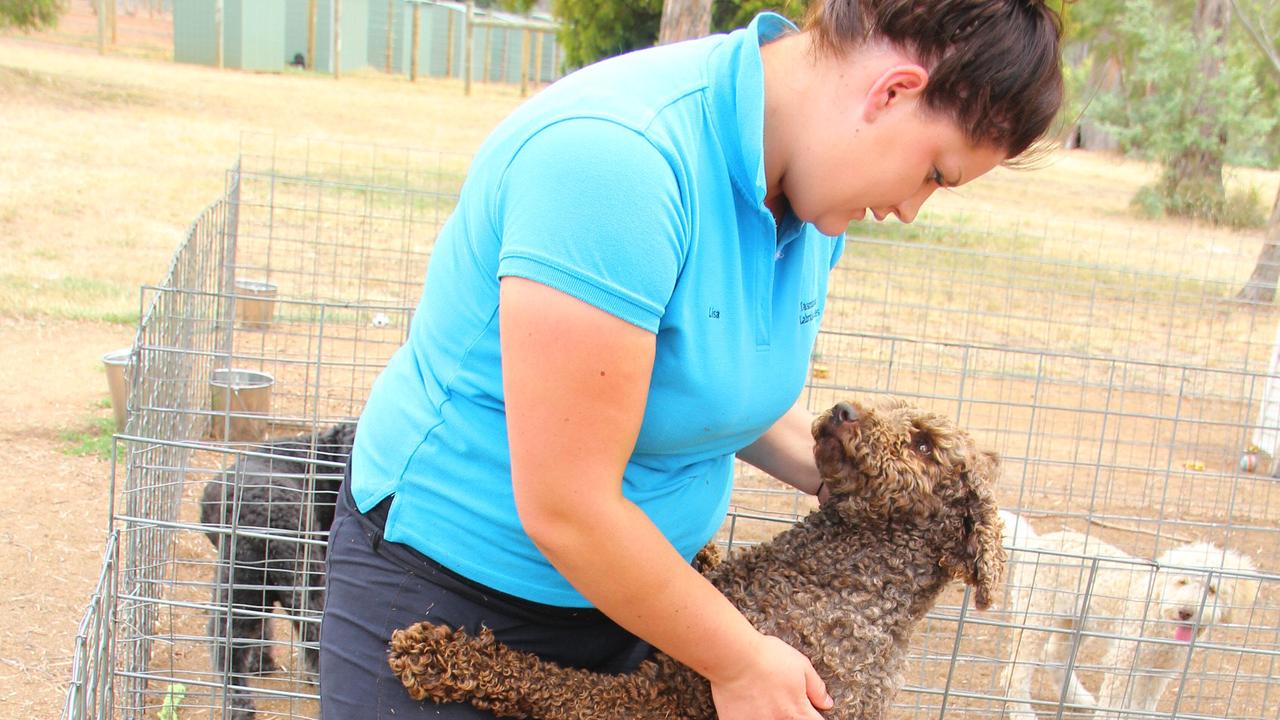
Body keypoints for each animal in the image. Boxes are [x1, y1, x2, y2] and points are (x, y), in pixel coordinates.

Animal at [384, 397, 1003, 717]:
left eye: (923, 445)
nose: (844, 408)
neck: (833, 580)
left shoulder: (669, 697)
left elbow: (563, 687)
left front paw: (444, 657)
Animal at [993, 507, 1254, 712]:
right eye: (1181, 582)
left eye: (1212, 589)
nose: (1185, 612)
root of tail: (1037, 541)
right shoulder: (1124, 663)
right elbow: (1114, 707)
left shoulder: (1157, 674)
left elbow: (1141, 709)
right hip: (1036, 619)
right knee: (1015, 674)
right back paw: (1024, 713)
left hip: (1075, 623)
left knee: (1053, 656)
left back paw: (1078, 699)